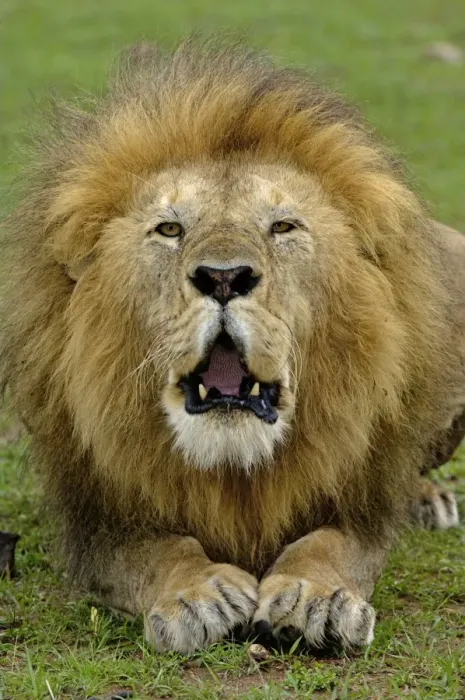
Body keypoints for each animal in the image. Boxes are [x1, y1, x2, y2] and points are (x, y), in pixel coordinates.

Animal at [1, 37, 464, 653]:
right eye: (170, 229)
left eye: (283, 226)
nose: (223, 278)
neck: (234, 465)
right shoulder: (98, 518)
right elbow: (157, 550)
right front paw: (198, 595)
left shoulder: (359, 505)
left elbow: (331, 543)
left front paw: (315, 599)